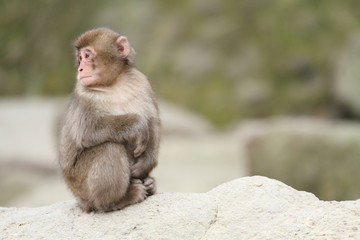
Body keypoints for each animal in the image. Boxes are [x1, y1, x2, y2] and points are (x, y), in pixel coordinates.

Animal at [58, 27, 160, 213]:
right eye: (80, 58)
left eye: (87, 55)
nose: (80, 69)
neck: (114, 83)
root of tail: (80, 200)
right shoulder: (84, 94)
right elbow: (87, 131)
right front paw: (137, 125)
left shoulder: (142, 83)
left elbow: (153, 122)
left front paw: (146, 163)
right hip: (80, 184)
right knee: (109, 148)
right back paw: (118, 200)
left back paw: (149, 184)